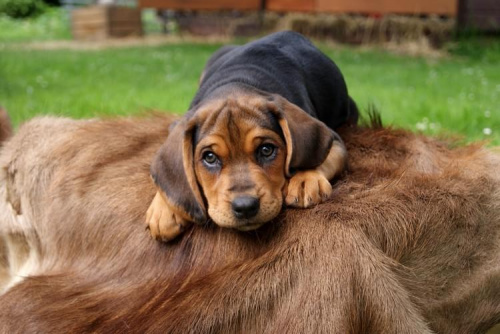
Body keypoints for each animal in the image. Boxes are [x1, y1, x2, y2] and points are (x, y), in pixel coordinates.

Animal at [146, 30, 358, 240]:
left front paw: (306, 177)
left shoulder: (334, 139)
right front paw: (164, 209)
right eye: (210, 157)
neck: (238, 81)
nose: (245, 207)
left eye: (266, 150)